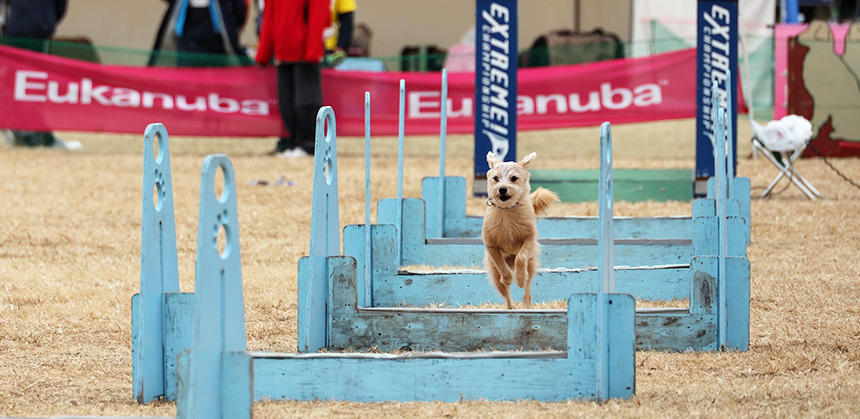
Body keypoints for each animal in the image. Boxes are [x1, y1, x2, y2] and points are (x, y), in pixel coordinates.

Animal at [484, 153, 556, 310]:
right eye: (496, 178)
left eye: (513, 178)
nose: (502, 189)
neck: (507, 211)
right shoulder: (491, 246)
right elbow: (502, 267)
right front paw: (508, 278)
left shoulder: (529, 240)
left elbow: (521, 258)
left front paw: (520, 278)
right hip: (494, 273)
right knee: (505, 291)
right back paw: (510, 307)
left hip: (531, 263)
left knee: (528, 285)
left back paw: (526, 301)